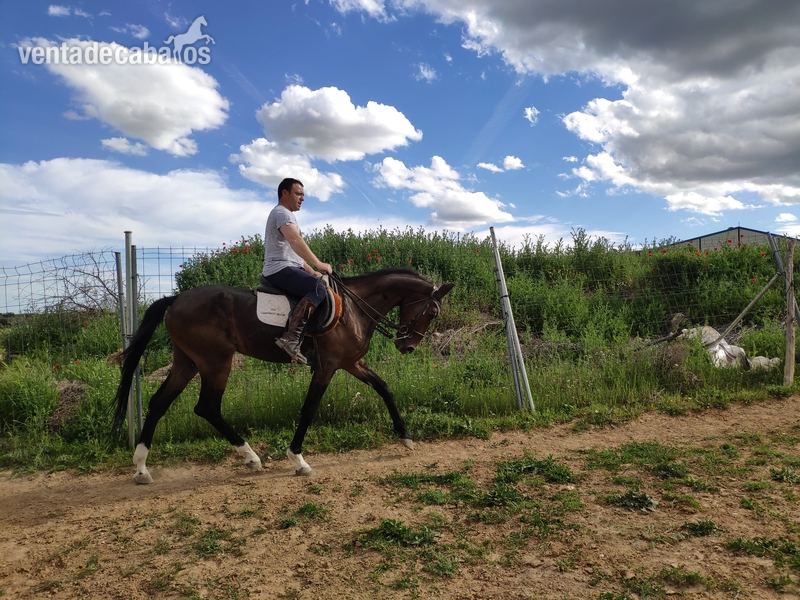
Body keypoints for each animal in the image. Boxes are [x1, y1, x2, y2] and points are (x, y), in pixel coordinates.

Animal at [112, 268, 453, 484]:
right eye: (432, 312)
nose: (407, 345)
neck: (354, 309)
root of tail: (177, 298)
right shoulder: (328, 366)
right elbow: (309, 409)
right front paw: (299, 460)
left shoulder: (351, 362)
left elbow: (384, 389)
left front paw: (405, 437)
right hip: (215, 362)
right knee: (207, 407)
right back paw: (251, 457)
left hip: (188, 362)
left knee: (160, 402)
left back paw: (141, 468)